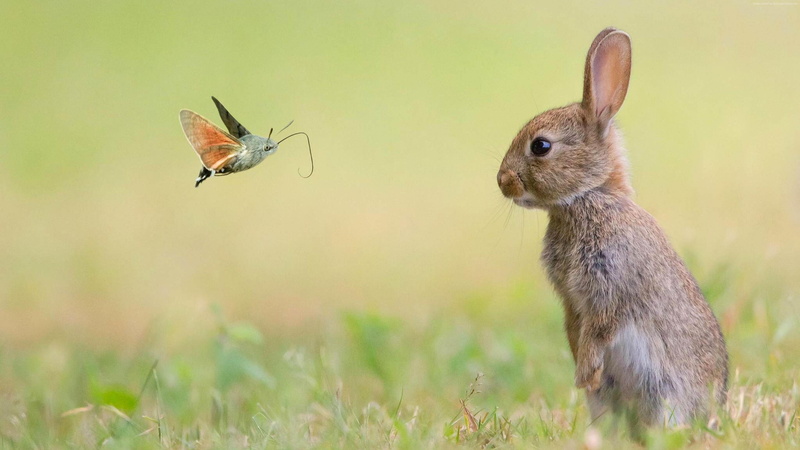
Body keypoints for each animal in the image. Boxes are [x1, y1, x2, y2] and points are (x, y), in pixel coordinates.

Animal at [496, 27, 728, 431]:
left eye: (541, 146)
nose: (502, 181)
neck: (588, 197)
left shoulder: (612, 287)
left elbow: (601, 327)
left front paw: (584, 373)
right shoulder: (572, 301)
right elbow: (575, 327)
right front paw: (582, 372)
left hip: (666, 393)